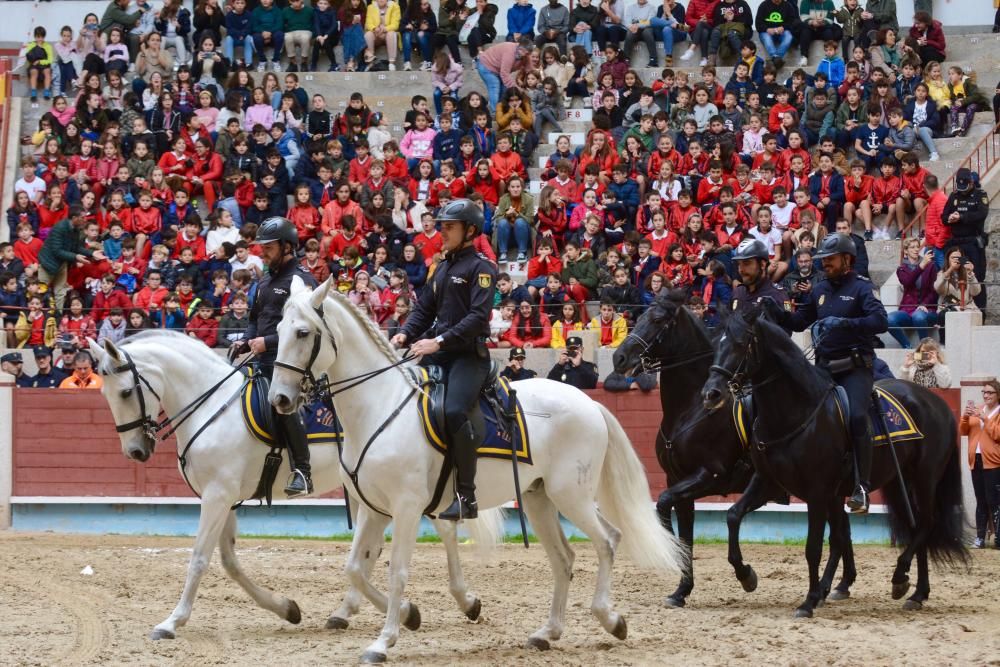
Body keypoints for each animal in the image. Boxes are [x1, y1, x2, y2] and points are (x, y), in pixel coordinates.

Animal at [90, 334, 504, 640]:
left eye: (124, 392)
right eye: (105, 394)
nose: (136, 451)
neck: (213, 405)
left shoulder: (217, 495)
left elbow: (199, 559)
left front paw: (172, 621)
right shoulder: (224, 497)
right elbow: (230, 562)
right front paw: (286, 608)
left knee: (443, 531)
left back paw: (465, 602)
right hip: (373, 492)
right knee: (379, 548)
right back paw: (349, 612)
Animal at [266, 276, 688, 664]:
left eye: (303, 332)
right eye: (278, 332)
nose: (280, 399)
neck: (379, 407)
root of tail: (589, 403)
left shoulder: (406, 508)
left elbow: (396, 570)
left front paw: (383, 641)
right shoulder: (373, 509)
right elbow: (355, 567)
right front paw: (409, 615)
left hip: (572, 496)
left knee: (607, 541)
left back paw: (611, 619)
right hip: (538, 499)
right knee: (564, 558)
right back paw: (547, 632)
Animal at [612, 294, 856, 608]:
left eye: (657, 320)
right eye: (639, 317)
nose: (619, 358)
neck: (692, 408)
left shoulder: (710, 476)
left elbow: (667, 504)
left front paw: (746, 576)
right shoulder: (677, 480)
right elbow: (685, 532)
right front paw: (681, 591)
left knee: (838, 531)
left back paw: (827, 588)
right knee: (843, 528)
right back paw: (841, 584)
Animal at [704, 310, 968, 620]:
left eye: (740, 343)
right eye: (715, 342)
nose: (711, 394)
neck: (797, 411)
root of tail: (937, 403)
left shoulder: (817, 492)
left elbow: (814, 547)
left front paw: (807, 601)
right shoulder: (767, 482)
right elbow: (733, 516)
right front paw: (746, 575)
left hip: (925, 478)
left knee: (926, 522)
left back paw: (899, 577)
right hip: (897, 482)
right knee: (913, 527)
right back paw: (915, 592)